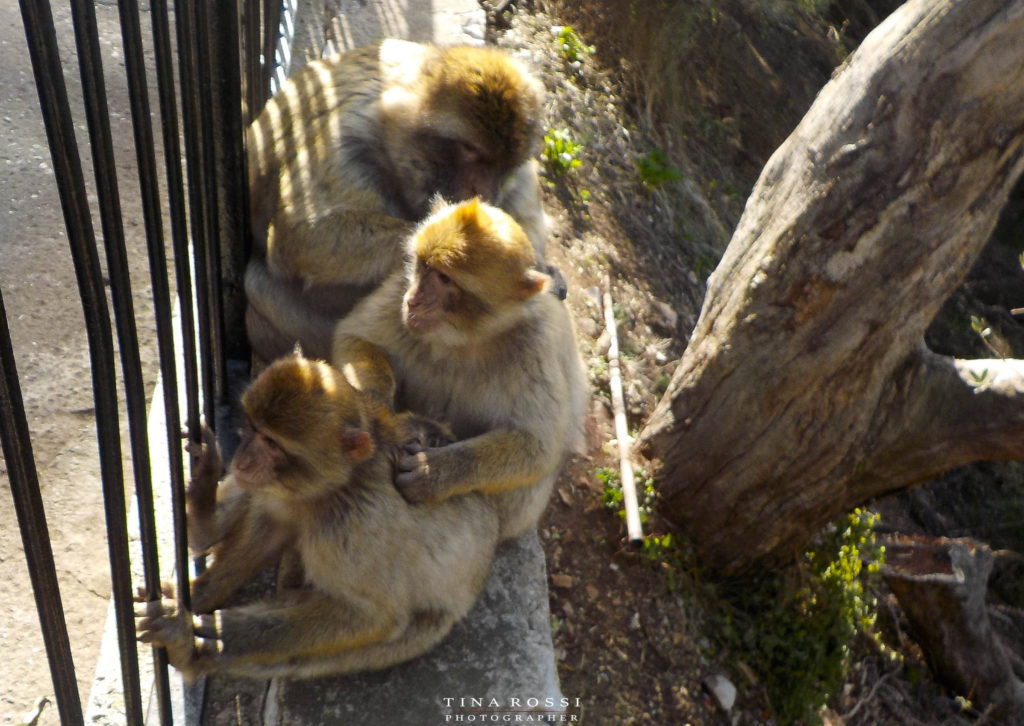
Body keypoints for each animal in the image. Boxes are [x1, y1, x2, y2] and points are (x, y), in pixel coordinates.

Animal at [137, 350, 499, 679]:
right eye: (252, 428)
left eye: (273, 443)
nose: (243, 461)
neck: (335, 487)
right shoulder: (285, 494)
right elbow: (268, 530)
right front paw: (202, 592)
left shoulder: (351, 530)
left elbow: (372, 616)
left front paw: (208, 632)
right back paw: (202, 521)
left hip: (425, 629)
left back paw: (187, 652)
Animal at [242, 38, 561, 360]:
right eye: (469, 149)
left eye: (501, 164)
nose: (481, 190)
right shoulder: (344, 140)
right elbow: (301, 234)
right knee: (257, 284)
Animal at [331, 195, 589, 540]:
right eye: (424, 267)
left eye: (445, 279)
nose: (414, 301)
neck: (468, 337)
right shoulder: (400, 286)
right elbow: (353, 336)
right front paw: (377, 408)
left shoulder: (536, 345)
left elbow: (537, 444)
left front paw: (434, 473)